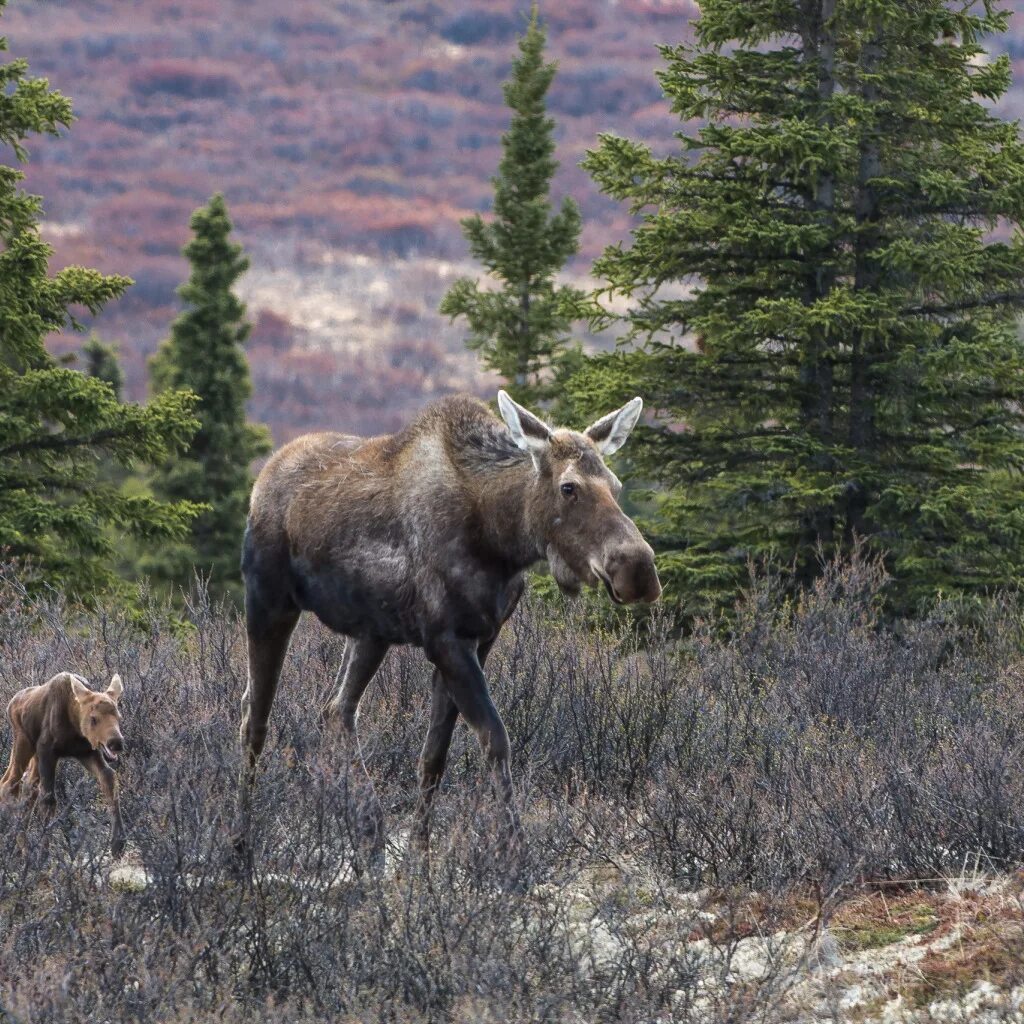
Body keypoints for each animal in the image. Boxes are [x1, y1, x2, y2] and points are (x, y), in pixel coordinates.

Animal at [1, 671, 128, 856]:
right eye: (93, 718)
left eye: (119, 716)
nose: (116, 743)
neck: (74, 725)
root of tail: (10, 704)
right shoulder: (47, 751)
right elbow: (48, 799)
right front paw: (43, 854)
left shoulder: (87, 752)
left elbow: (109, 777)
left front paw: (117, 843)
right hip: (24, 742)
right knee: (9, 784)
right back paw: (18, 842)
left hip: (34, 756)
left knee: (28, 786)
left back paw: (20, 847)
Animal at [234, 391, 655, 864]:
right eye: (569, 487)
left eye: (616, 486)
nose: (638, 569)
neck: (501, 539)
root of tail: (262, 478)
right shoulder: (447, 641)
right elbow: (495, 739)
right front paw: (516, 854)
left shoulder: (481, 638)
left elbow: (434, 754)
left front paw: (418, 854)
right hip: (268, 601)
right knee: (255, 718)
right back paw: (240, 845)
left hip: (371, 633)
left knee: (336, 710)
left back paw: (369, 833)